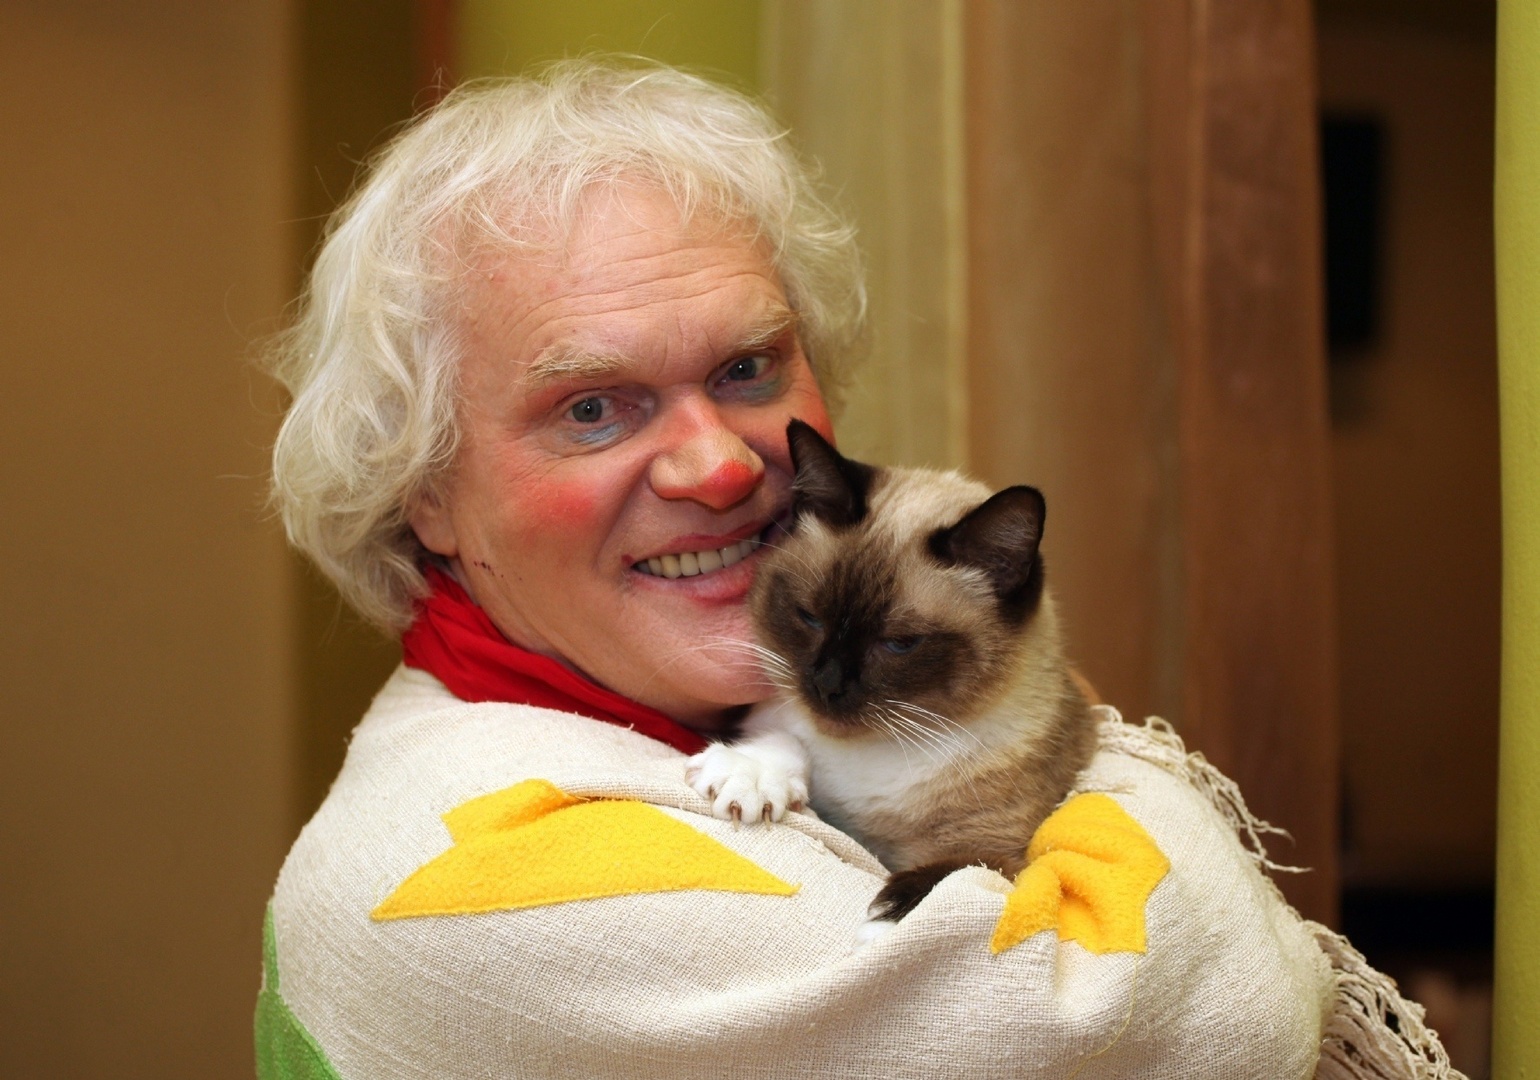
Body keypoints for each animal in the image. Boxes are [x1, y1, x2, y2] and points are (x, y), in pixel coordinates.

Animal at [686, 420, 1096, 932]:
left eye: (899, 644)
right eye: (810, 617)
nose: (827, 685)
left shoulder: (1003, 856)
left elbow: (942, 878)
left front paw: (878, 933)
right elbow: (786, 740)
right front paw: (749, 779)